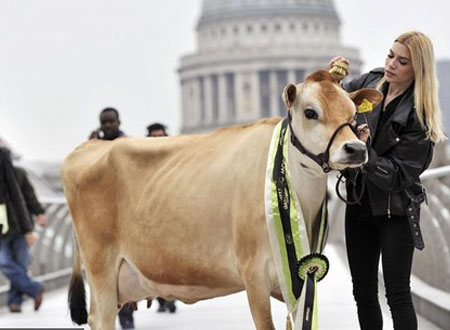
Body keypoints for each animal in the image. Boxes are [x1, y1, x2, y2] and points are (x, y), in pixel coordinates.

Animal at [62, 70, 380, 330]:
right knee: (101, 319)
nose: (355, 148)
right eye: (310, 112)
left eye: (353, 113)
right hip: (101, 266)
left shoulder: (302, 277)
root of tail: (87, 147)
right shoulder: (253, 275)